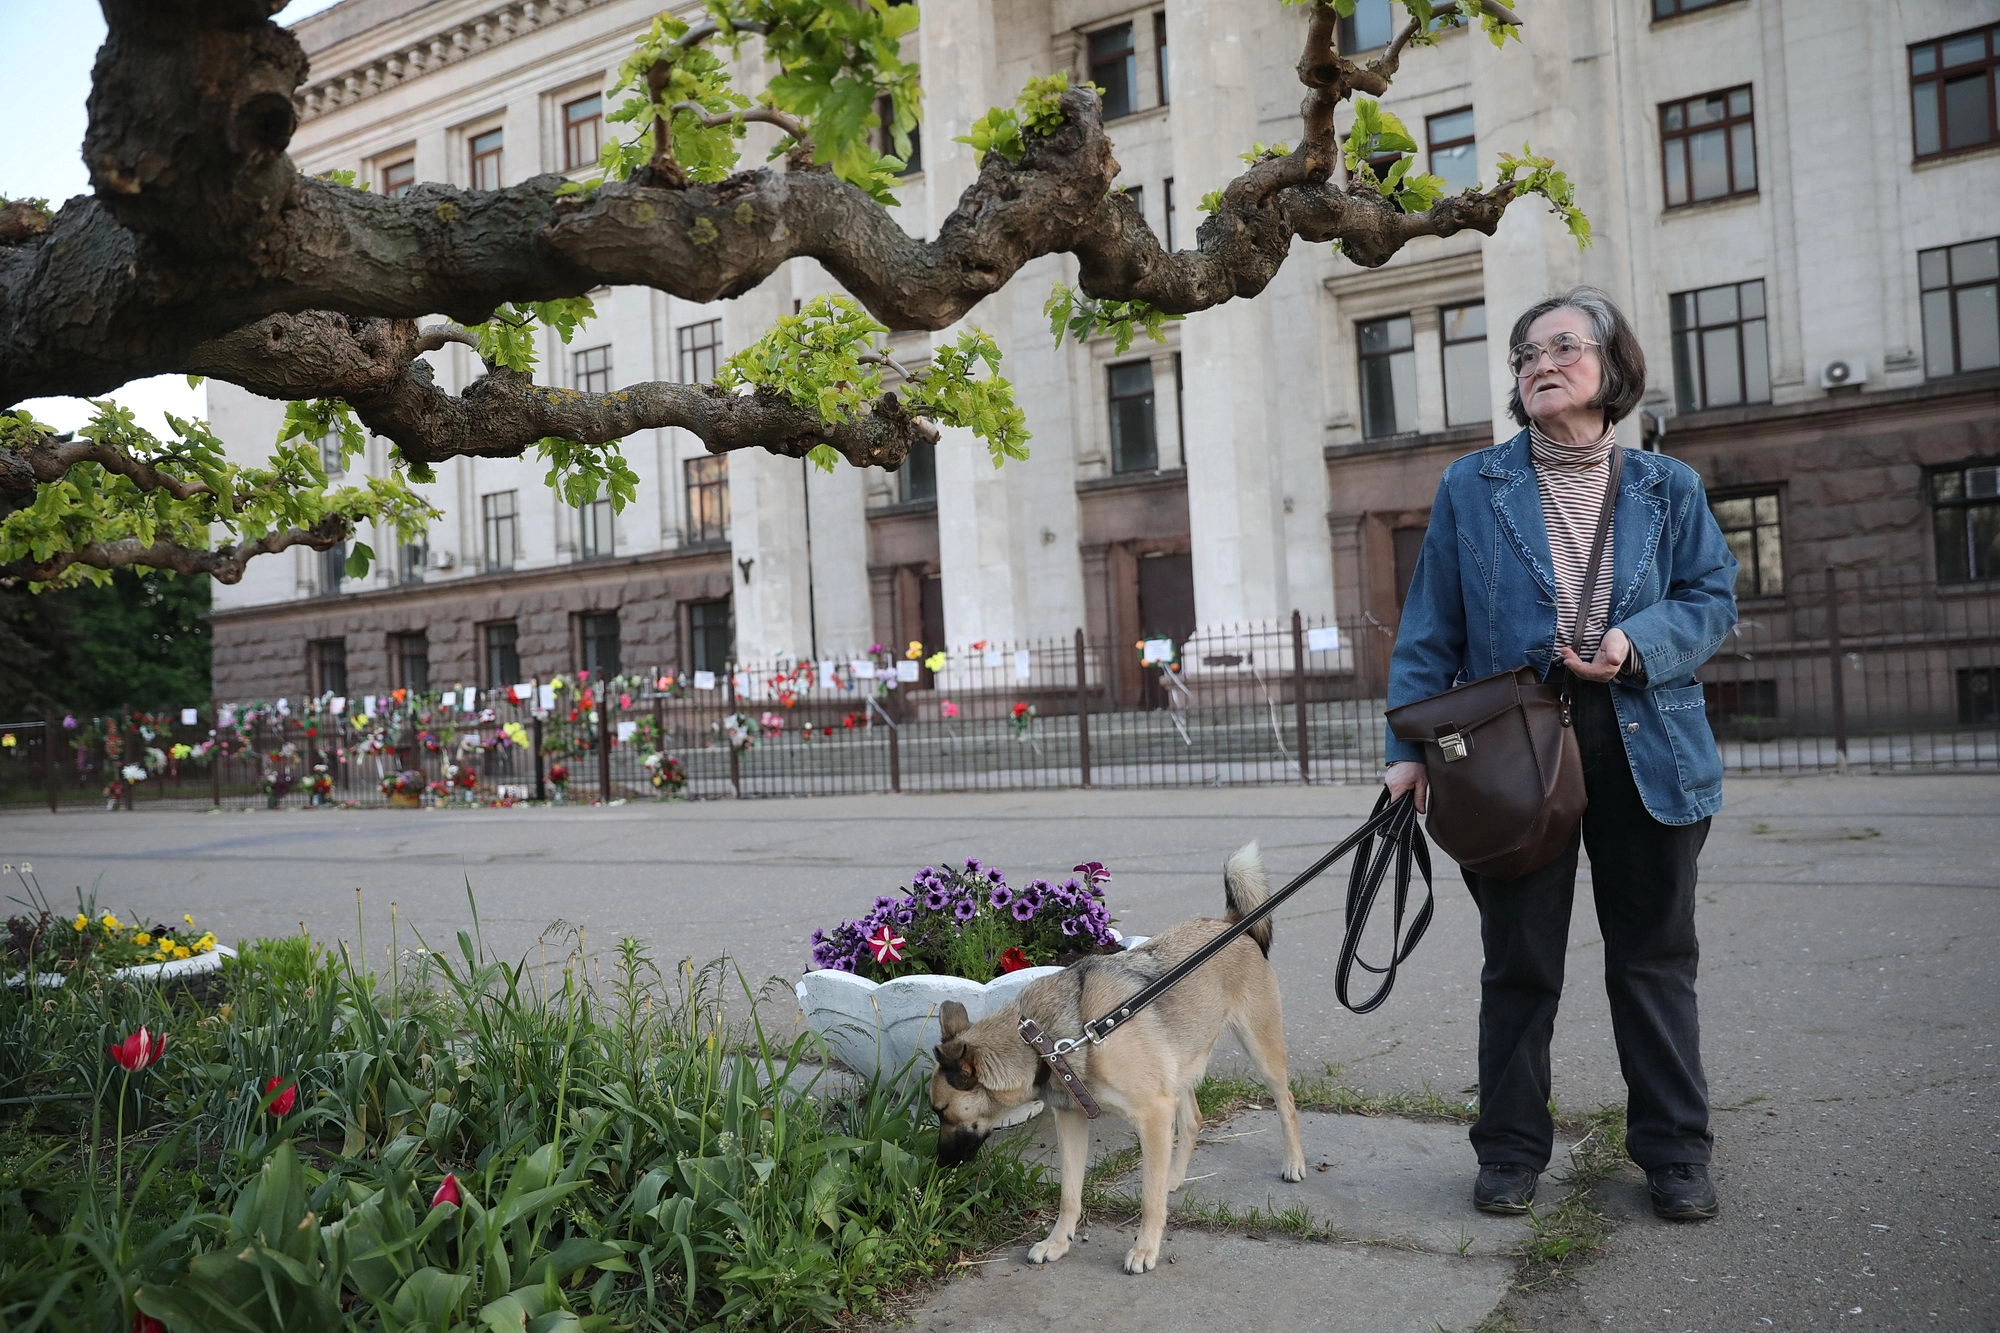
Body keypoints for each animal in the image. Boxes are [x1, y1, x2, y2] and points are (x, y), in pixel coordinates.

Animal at [928, 844, 1304, 1272]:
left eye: (941, 1111)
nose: (939, 1164)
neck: (1047, 1040)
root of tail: (1232, 925)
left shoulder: (1153, 1114)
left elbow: (1148, 1200)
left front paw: (1145, 1248)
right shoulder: (1073, 1120)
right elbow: (1069, 1193)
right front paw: (1058, 1242)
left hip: (1261, 1049)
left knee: (1285, 1101)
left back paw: (1293, 1164)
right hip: (1178, 1066)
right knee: (1192, 1120)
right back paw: (1173, 1176)